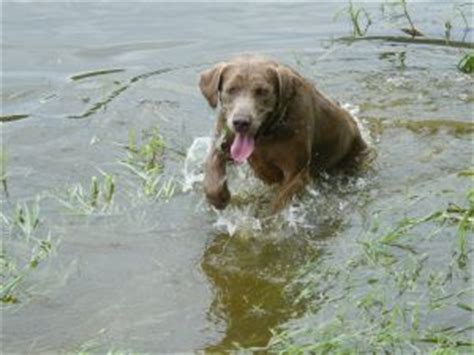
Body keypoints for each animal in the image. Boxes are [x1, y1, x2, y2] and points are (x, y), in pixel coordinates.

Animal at [198, 54, 364, 213]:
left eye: (262, 91)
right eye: (231, 89)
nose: (241, 122)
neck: (266, 135)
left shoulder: (295, 171)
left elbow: (277, 205)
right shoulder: (224, 137)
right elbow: (214, 162)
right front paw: (220, 197)